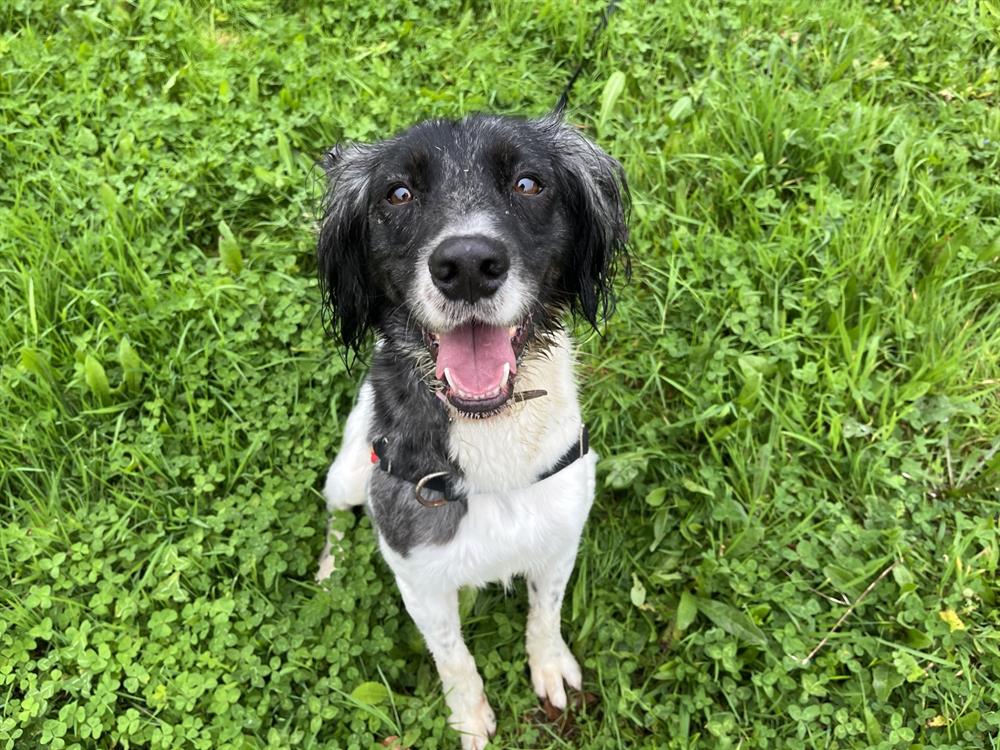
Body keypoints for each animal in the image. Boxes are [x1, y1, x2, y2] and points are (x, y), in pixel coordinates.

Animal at [314, 112, 628, 749]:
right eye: (398, 193)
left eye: (529, 184)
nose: (465, 266)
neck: (492, 438)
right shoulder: (419, 577)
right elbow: (453, 657)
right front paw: (470, 717)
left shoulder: (561, 536)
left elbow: (545, 612)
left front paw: (549, 666)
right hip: (350, 472)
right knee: (334, 513)